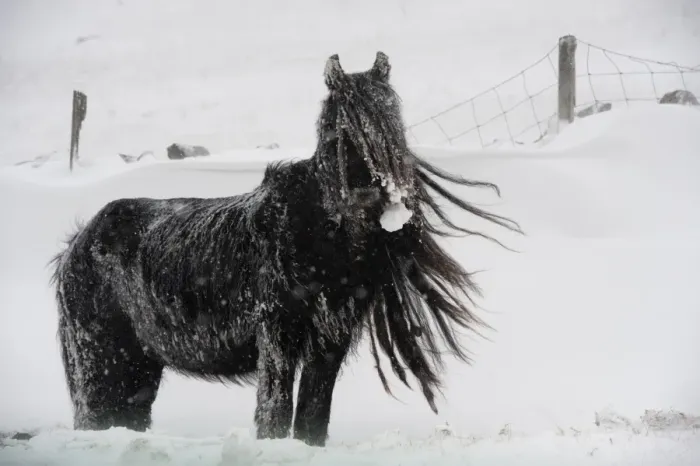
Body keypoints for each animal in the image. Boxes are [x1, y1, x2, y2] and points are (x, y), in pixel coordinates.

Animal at [50, 51, 521, 447]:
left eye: (394, 120)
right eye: (338, 128)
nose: (381, 200)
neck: (319, 238)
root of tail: (76, 244)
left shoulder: (329, 342)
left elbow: (313, 414)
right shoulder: (277, 333)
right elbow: (274, 409)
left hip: (140, 367)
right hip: (101, 358)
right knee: (95, 415)